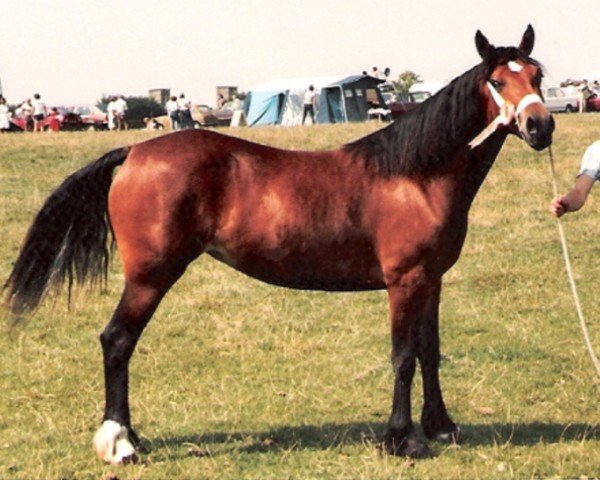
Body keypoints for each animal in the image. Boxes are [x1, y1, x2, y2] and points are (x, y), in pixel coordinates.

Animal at [3, 25, 552, 462]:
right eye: (497, 81)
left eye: (538, 76)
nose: (541, 125)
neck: (415, 175)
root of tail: (135, 149)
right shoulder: (404, 282)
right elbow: (402, 357)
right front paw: (403, 439)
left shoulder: (431, 281)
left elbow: (430, 352)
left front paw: (441, 426)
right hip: (150, 276)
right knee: (117, 340)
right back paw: (120, 443)